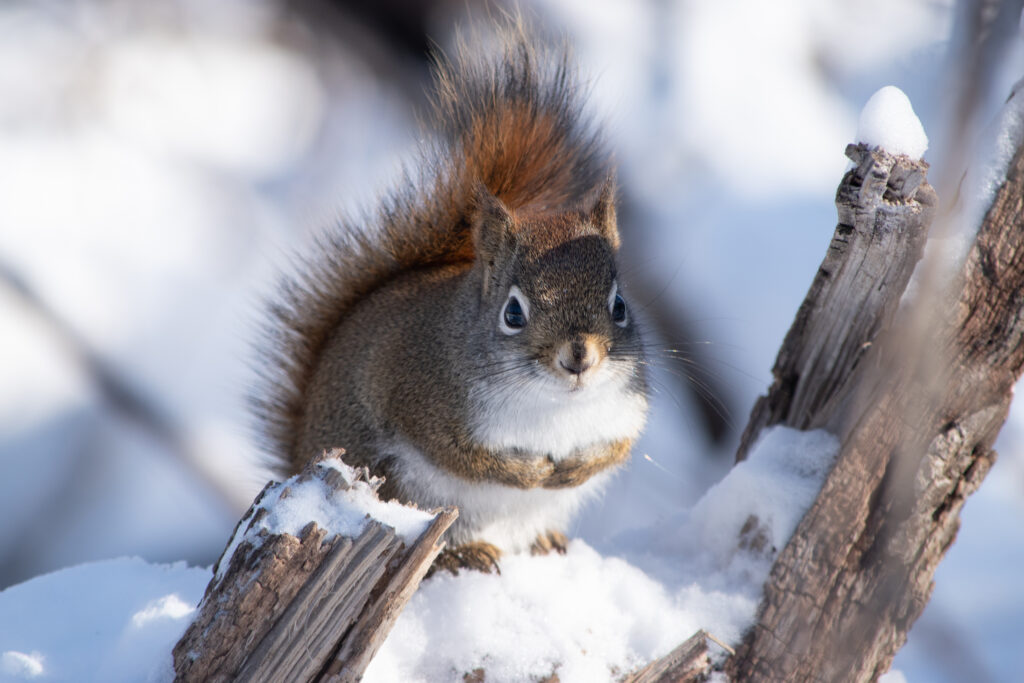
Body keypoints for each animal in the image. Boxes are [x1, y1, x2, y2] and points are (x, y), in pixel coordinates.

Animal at [253, 21, 650, 574]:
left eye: (619, 307)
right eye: (513, 312)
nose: (580, 358)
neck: (555, 404)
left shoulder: (627, 406)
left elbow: (621, 446)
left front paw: (574, 468)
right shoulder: (420, 399)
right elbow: (462, 456)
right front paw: (529, 473)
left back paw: (547, 541)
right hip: (401, 488)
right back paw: (467, 553)